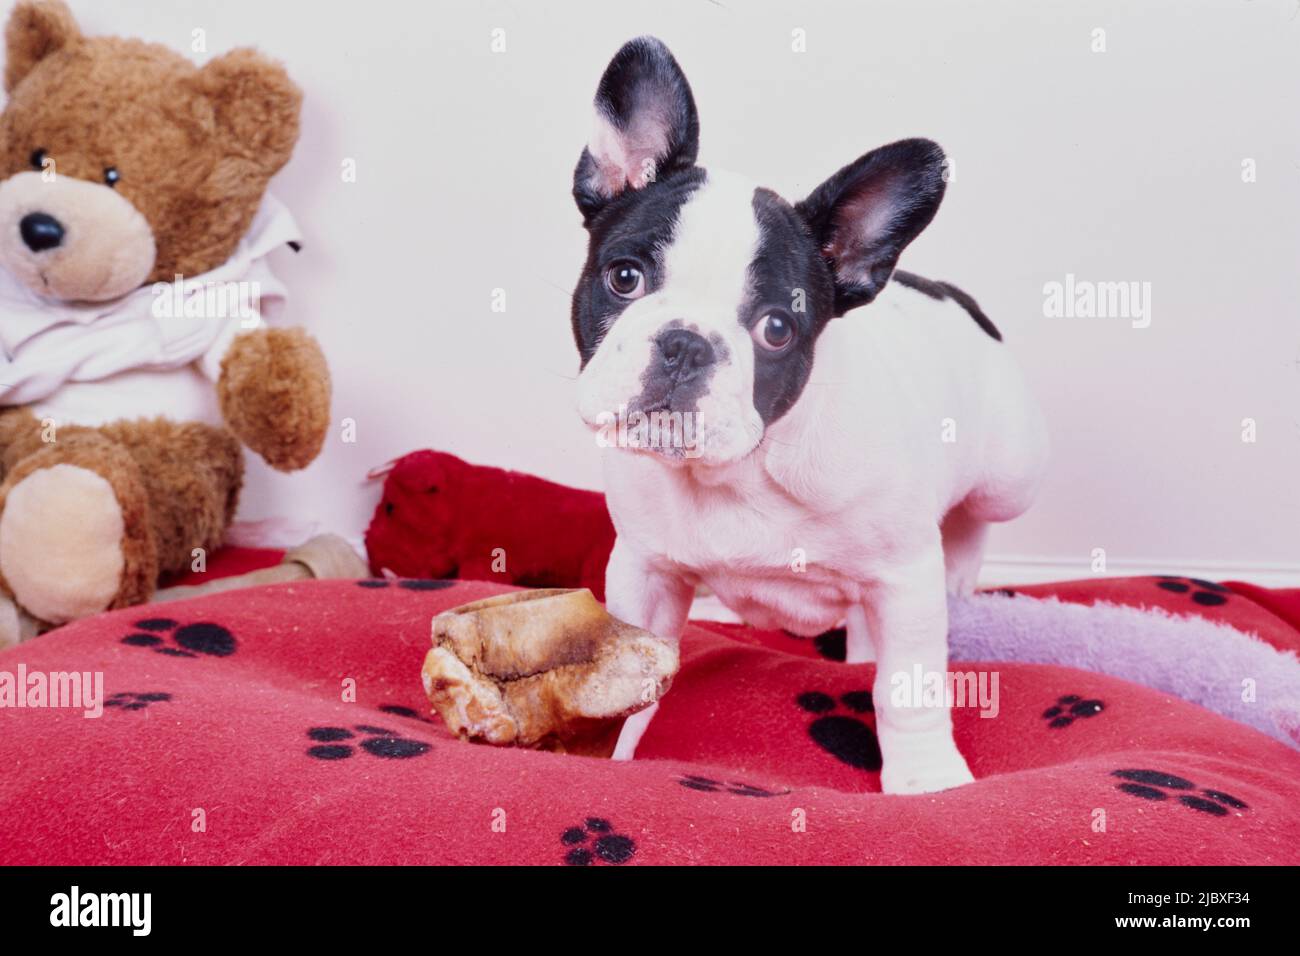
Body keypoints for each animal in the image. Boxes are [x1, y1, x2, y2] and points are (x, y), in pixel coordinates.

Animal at [569, 37, 1045, 790]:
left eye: (776, 329)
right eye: (624, 278)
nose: (685, 344)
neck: (741, 471)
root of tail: (943, 288)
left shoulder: (905, 580)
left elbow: (907, 686)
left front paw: (927, 779)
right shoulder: (645, 572)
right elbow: (631, 670)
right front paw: (608, 748)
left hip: (1012, 477)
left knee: (974, 520)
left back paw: (962, 574)